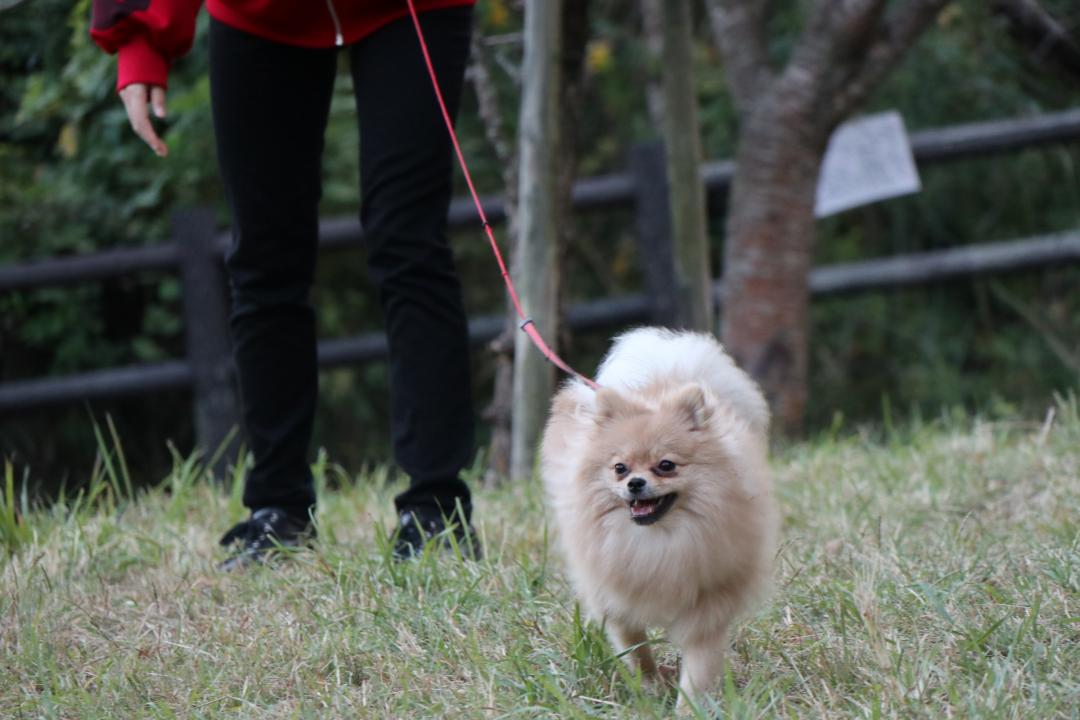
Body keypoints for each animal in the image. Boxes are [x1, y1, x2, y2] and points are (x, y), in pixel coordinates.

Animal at [540, 328, 777, 708]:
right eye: (620, 468)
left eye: (666, 465)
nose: (635, 483)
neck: (658, 541)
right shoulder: (614, 593)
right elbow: (635, 646)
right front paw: (649, 686)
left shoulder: (709, 600)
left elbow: (699, 662)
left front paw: (689, 707)